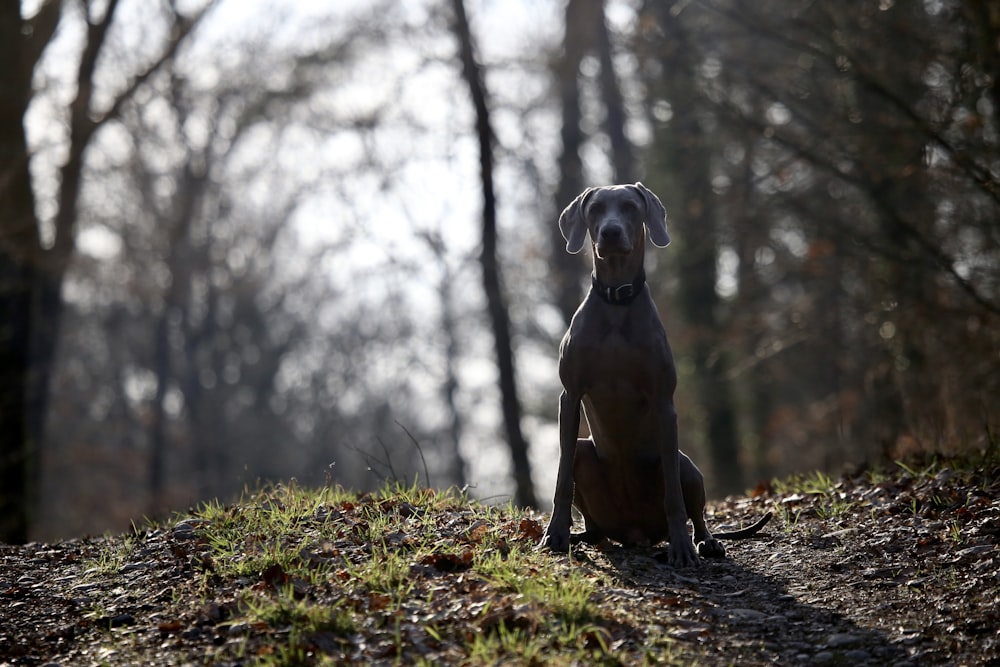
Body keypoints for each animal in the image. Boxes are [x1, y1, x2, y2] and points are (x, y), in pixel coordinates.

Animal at [544, 184, 768, 568]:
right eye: (595, 208)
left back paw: (704, 542)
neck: (616, 301)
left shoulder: (664, 400)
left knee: (696, 510)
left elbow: (674, 498)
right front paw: (555, 533)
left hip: (683, 462)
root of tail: (635, 533)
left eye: (630, 207)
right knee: (593, 523)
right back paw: (580, 536)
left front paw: (682, 548)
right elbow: (561, 479)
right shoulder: (569, 396)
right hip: (585, 454)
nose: (611, 232)